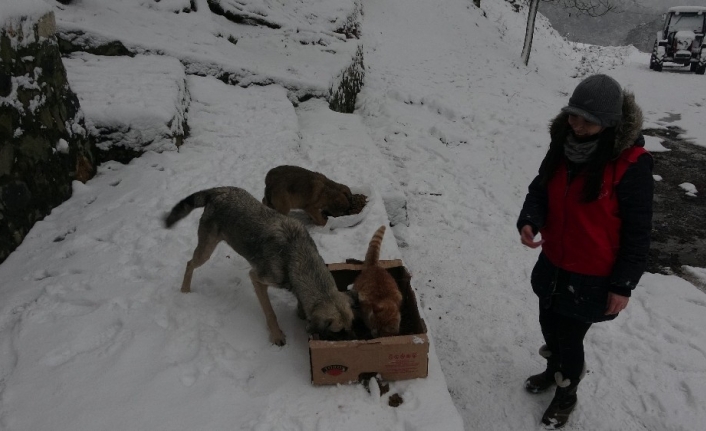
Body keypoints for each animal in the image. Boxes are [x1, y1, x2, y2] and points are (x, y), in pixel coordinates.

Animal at [163, 187, 354, 346]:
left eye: (351, 325)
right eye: (337, 332)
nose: (352, 342)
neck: (296, 256)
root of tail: (218, 192)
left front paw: (300, 312)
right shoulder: (257, 278)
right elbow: (270, 313)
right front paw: (277, 335)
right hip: (206, 250)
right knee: (189, 264)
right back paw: (185, 290)